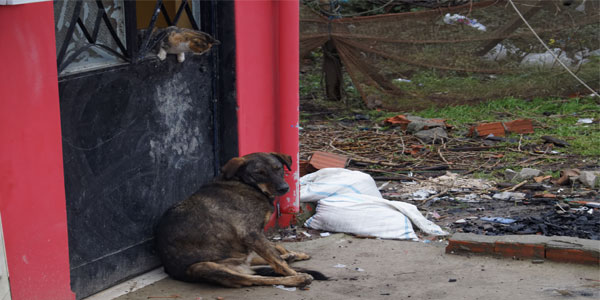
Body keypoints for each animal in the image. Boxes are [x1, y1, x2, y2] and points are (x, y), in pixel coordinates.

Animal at [155, 154, 328, 288]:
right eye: (259, 173)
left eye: (278, 168)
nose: (284, 188)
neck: (244, 183)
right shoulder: (251, 234)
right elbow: (278, 262)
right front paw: (291, 271)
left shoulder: (256, 236)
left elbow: (275, 251)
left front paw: (290, 254)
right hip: (204, 266)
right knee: (257, 278)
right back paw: (297, 278)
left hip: (241, 257)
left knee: (259, 261)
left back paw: (292, 256)